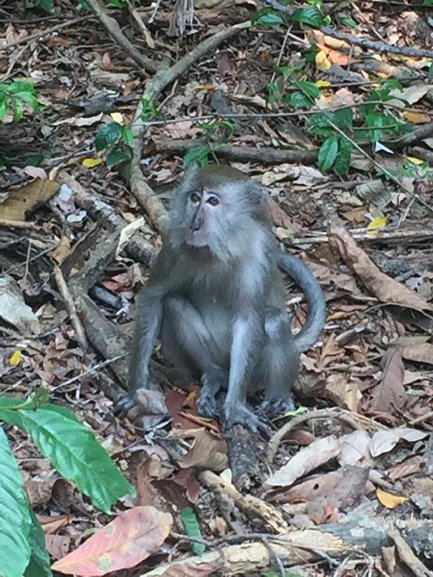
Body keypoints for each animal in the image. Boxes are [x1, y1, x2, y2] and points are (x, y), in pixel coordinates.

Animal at [118, 164, 324, 430]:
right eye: (195, 198)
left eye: (213, 201)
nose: (194, 224)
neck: (218, 249)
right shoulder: (174, 246)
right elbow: (153, 298)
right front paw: (136, 392)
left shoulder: (257, 257)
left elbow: (248, 320)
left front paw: (235, 407)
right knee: (173, 304)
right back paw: (215, 375)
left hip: (257, 371)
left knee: (274, 322)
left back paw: (278, 397)